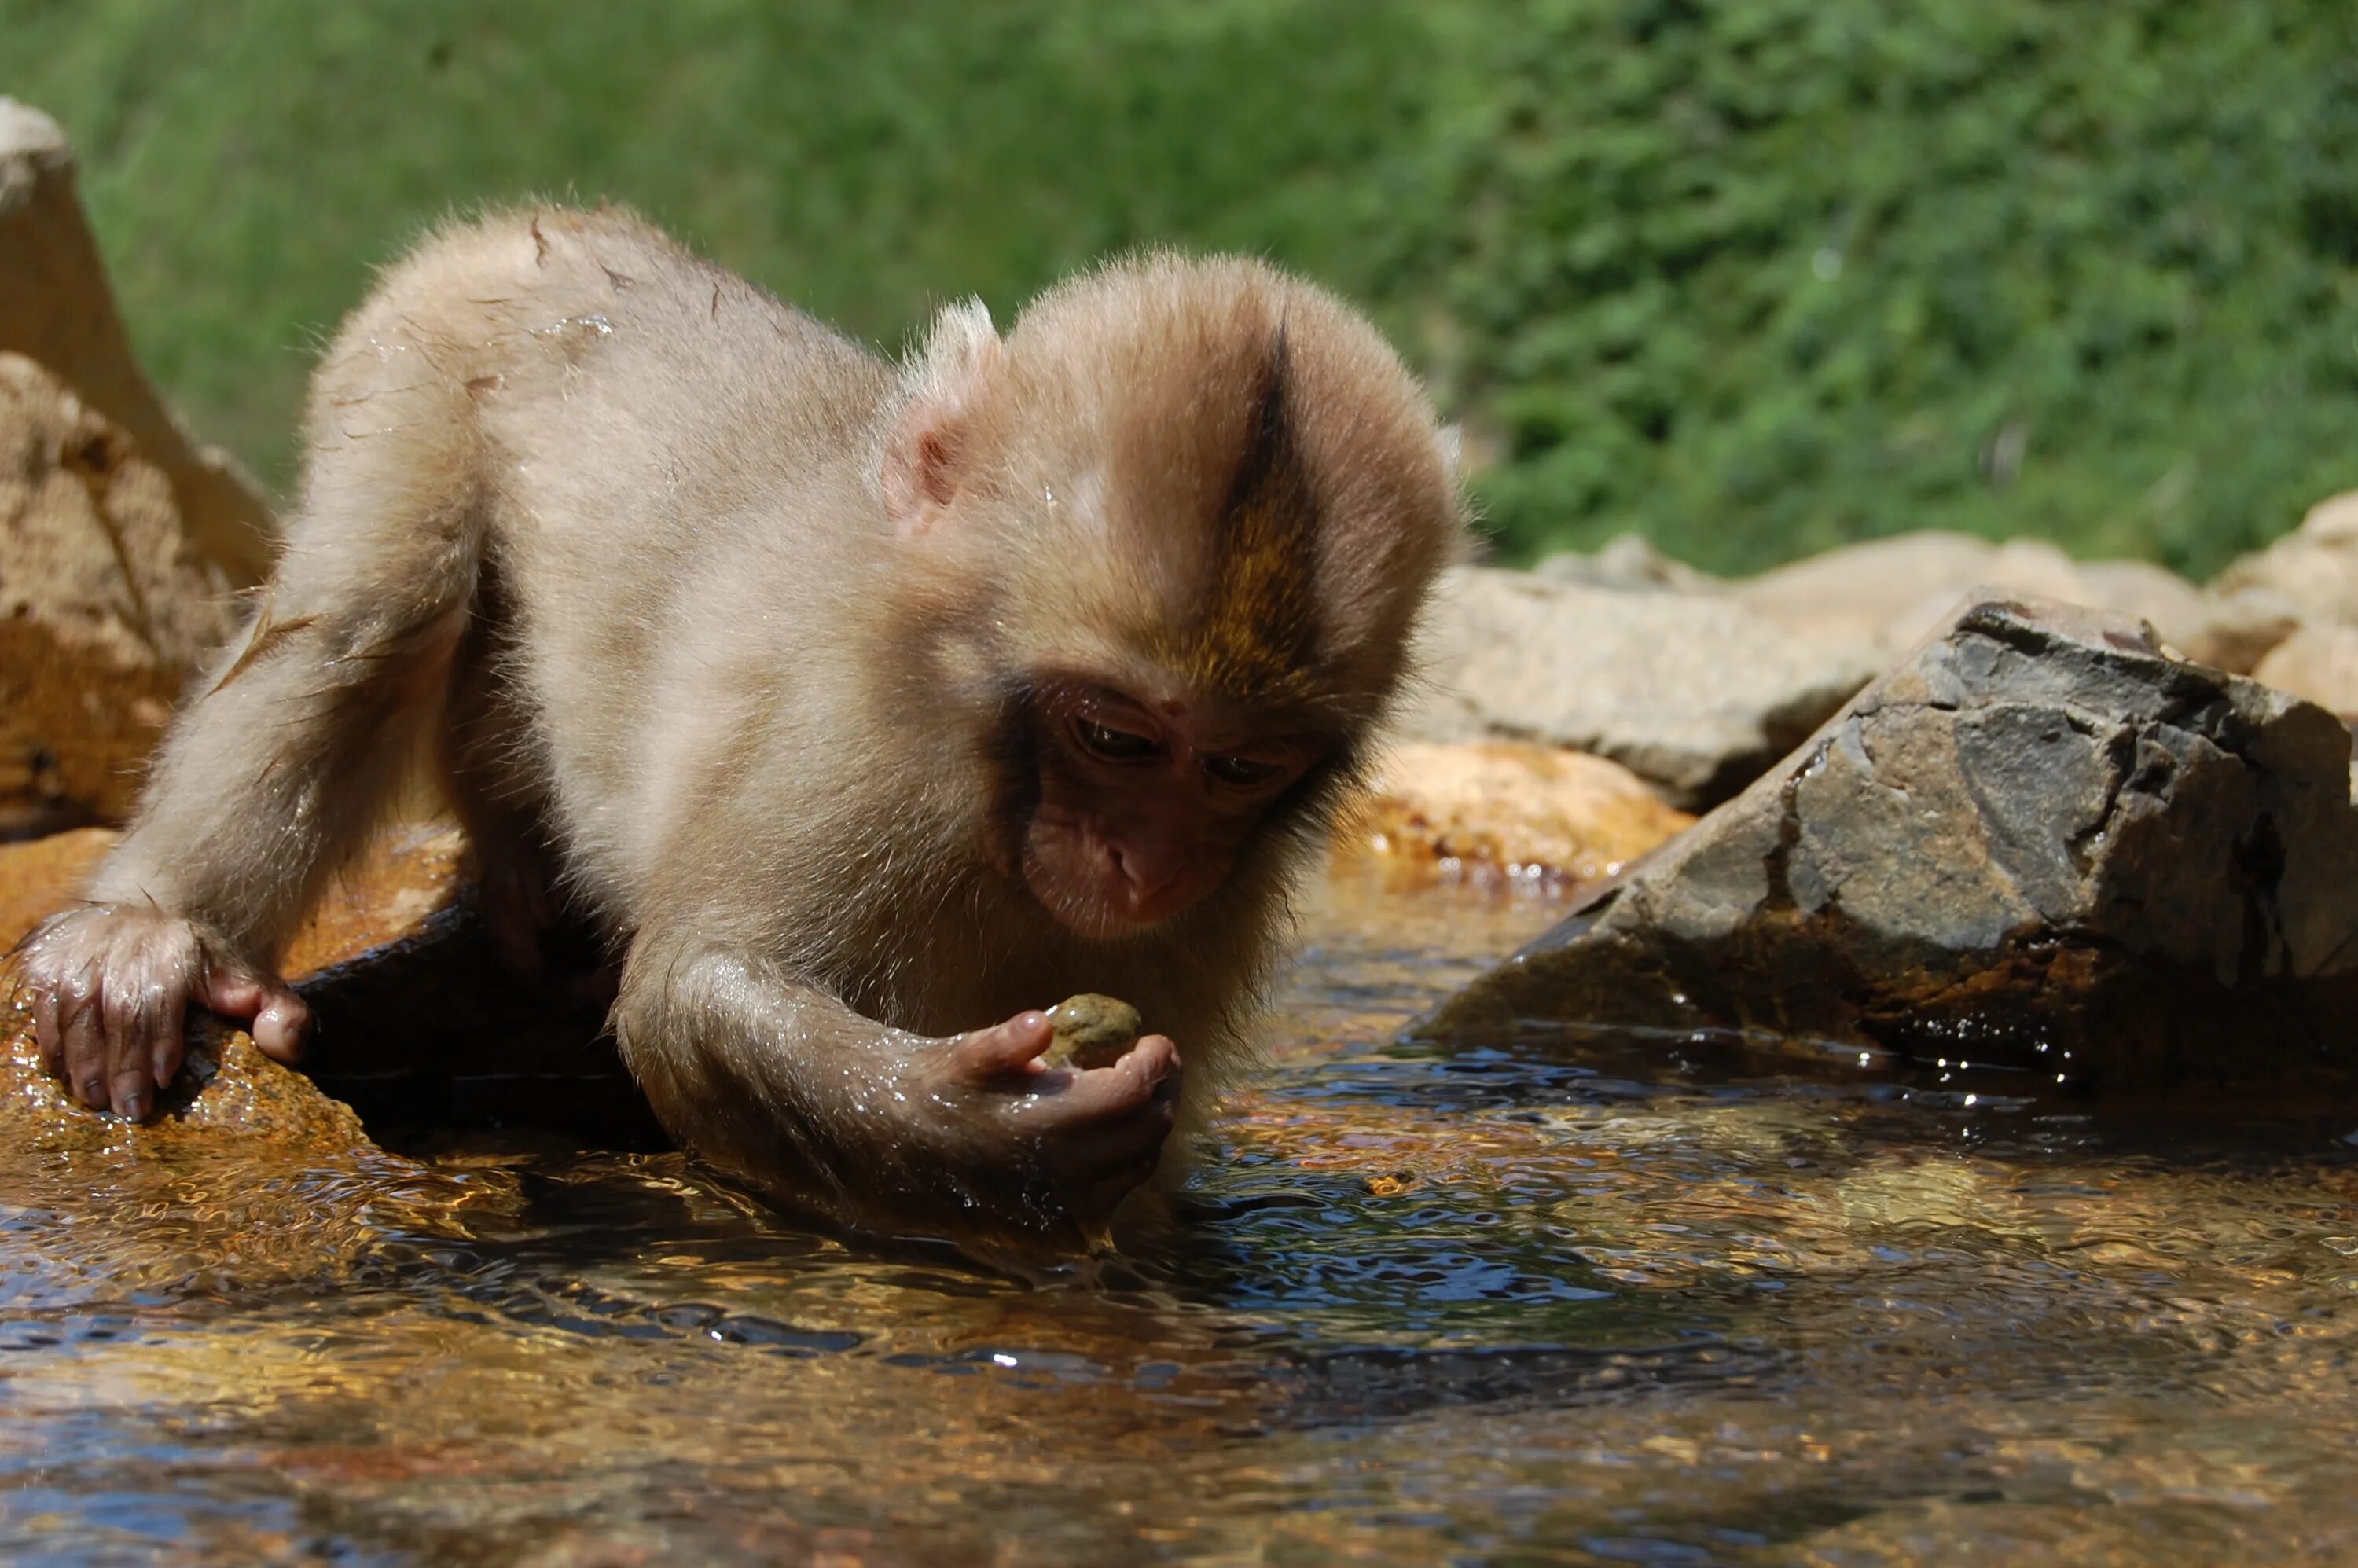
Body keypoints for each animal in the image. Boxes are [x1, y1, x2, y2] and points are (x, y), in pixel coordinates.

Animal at [13, 211, 1453, 1264]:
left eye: (1238, 768)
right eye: (1115, 735)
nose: (1141, 865)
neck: (982, 763)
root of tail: (531, 226)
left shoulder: (1216, 906)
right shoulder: (848, 734)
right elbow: (688, 991)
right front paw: (973, 1132)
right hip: (409, 367)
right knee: (373, 613)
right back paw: (152, 932)